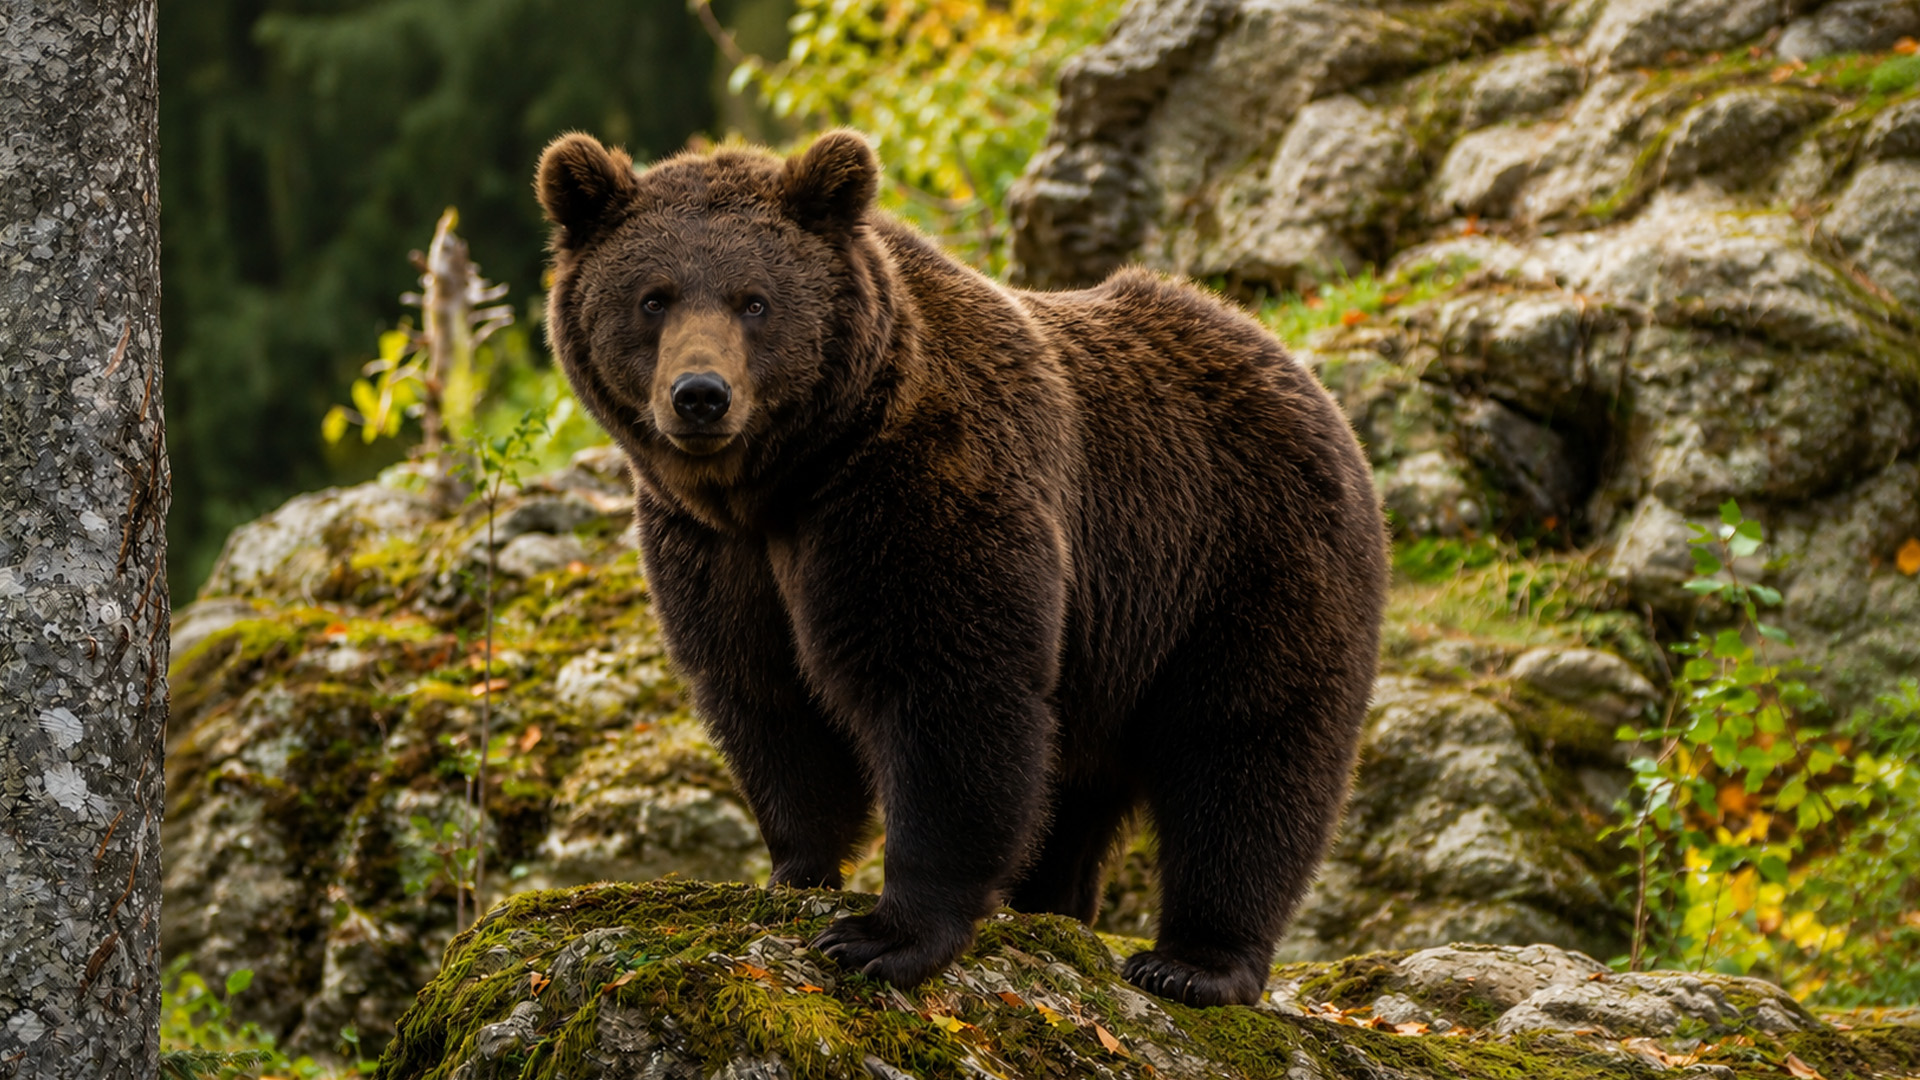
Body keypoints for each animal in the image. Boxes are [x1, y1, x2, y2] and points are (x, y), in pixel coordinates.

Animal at [535, 129, 1388, 1007]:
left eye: (754, 300)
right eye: (654, 297)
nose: (700, 395)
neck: (786, 479)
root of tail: (1298, 368)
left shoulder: (926, 482)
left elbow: (950, 689)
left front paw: (884, 935)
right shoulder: (714, 554)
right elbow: (762, 697)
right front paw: (796, 871)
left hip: (1242, 559)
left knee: (1247, 749)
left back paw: (1194, 960)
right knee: (1074, 785)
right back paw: (1051, 904)